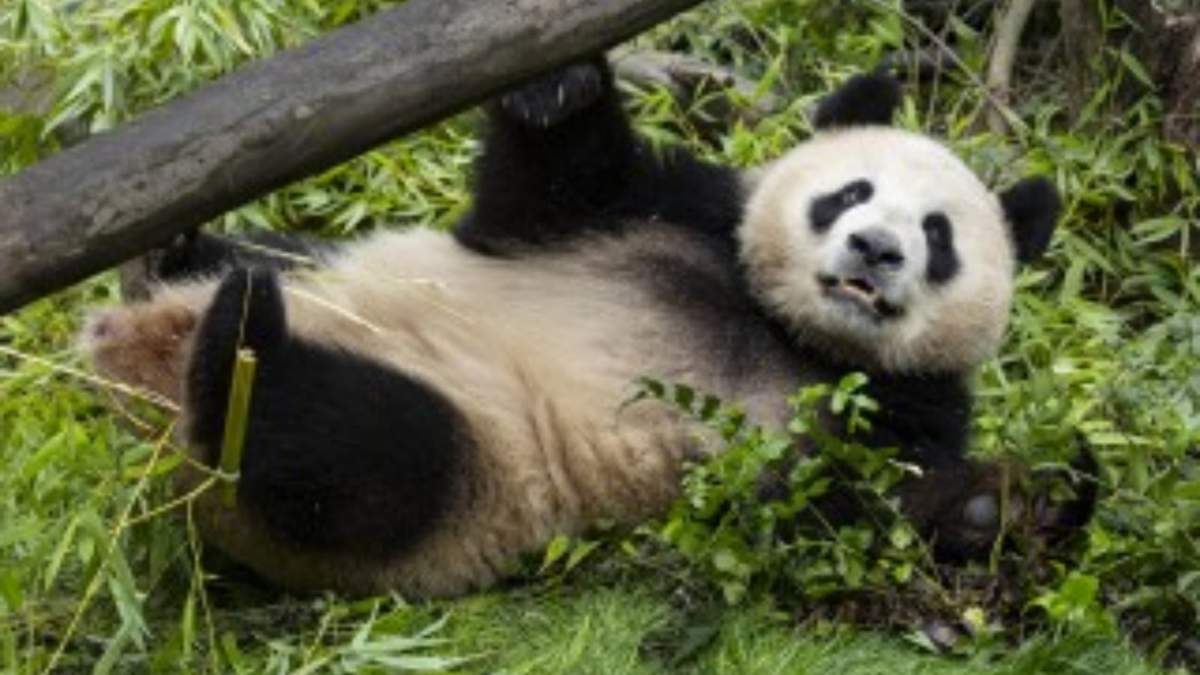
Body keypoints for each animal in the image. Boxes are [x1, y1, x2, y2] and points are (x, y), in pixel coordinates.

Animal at [80, 57, 1092, 597]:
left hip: (467, 477)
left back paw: (238, 353)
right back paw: (178, 260)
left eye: (939, 236)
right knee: (265, 268)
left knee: (351, 452)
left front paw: (1016, 500)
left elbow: (841, 513)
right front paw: (559, 85)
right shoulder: (671, 211)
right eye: (851, 192)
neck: (787, 328)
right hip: (323, 271)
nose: (876, 248)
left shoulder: (895, 409)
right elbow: (539, 196)